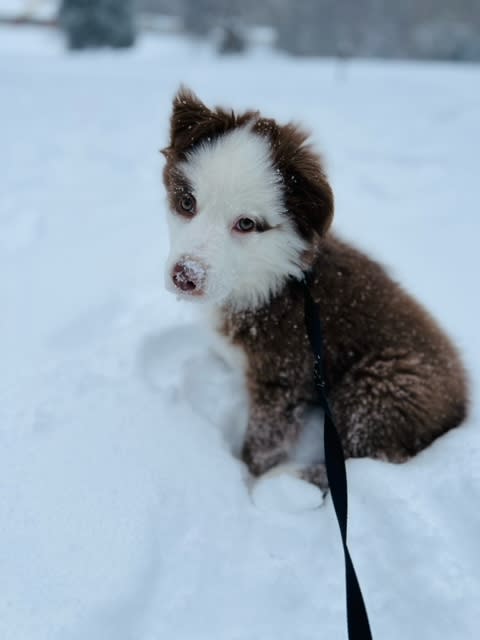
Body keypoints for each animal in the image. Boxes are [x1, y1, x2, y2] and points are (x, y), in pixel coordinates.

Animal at [162, 87, 468, 490]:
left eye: (246, 223)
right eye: (187, 202)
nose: (186, 276)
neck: (270, 279)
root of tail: (462, 403)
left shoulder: (283, 376)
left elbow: (264, 444)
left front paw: (249, 483)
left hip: (382, 385)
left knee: (366, 459)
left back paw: (287, 481)